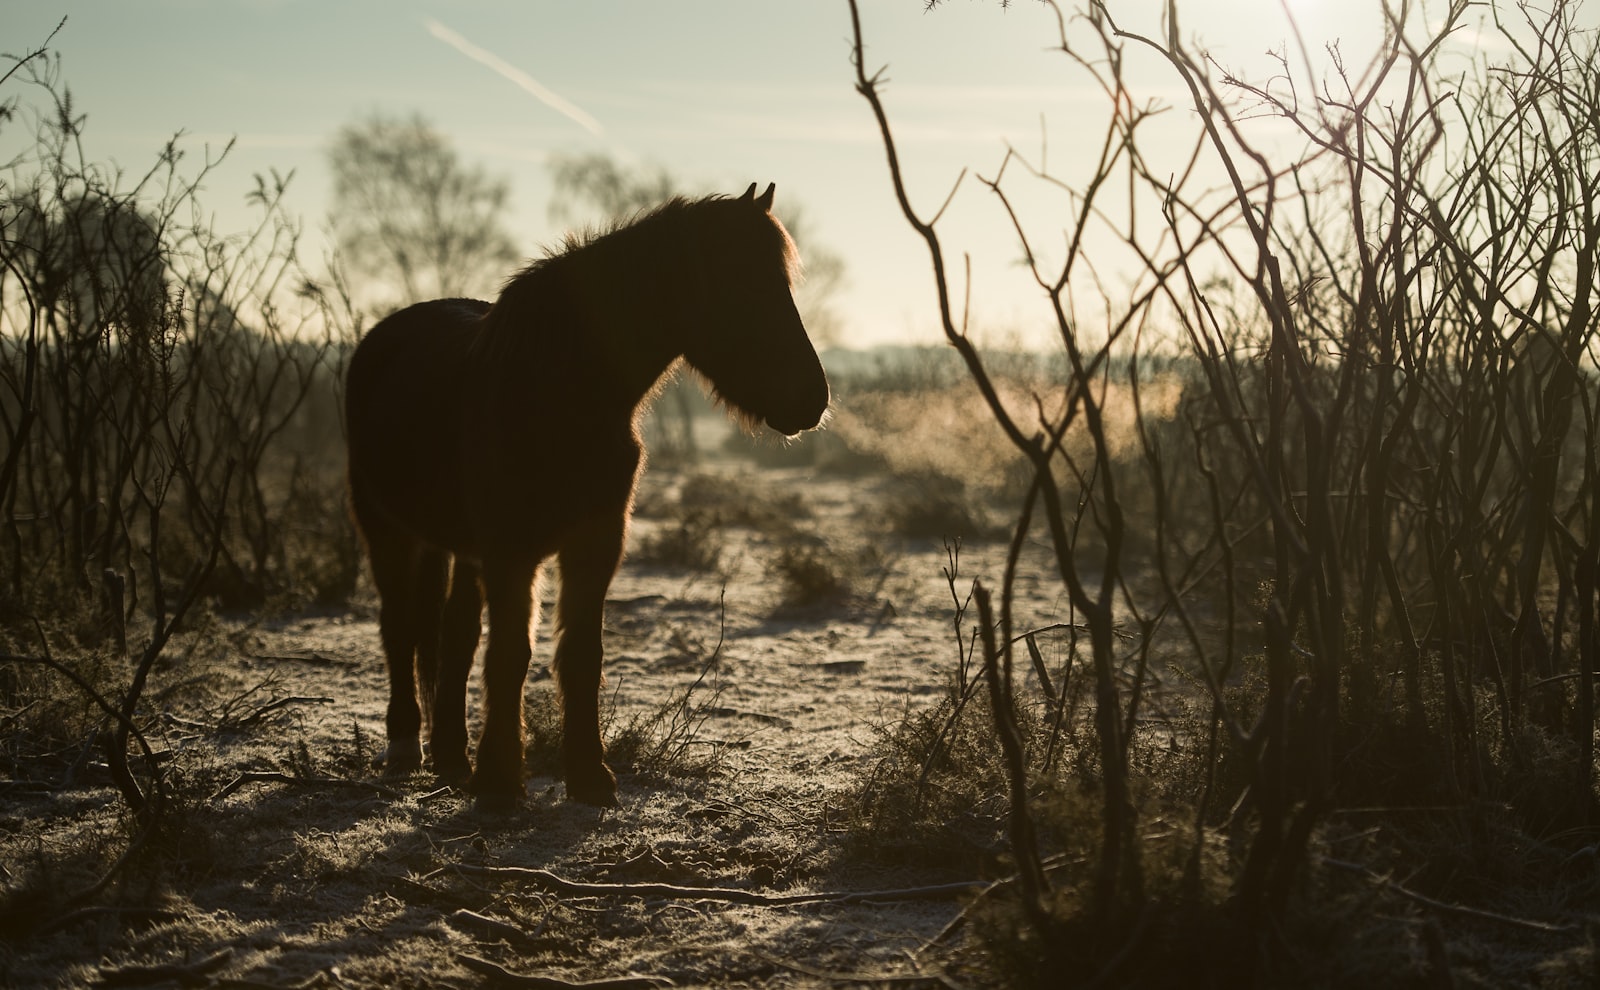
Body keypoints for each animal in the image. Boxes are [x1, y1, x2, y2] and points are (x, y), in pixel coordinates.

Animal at [345, 182, 832, 809]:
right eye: (741, 285)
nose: (813, 398)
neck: (559, 390)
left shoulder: (596, 541)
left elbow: (580, 654)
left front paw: (588, 776)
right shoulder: (512, 550)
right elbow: (511, 654)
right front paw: (501, 783)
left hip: (458, 548)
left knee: (454, 633)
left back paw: (452, 757)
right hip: (387, 531)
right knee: (399, 627)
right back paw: (406, 746)